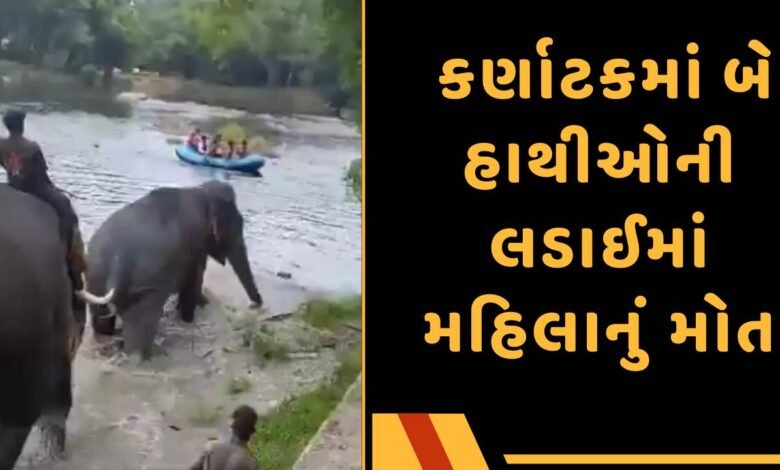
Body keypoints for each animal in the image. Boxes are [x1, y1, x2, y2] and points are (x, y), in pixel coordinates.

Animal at [85, 180, 263, 360]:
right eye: (238, 225)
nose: (256, 304)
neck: (202, 190)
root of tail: (119, 260)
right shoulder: (195, 244)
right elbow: (193, 280)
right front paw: (190, 318)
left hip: (96, 276)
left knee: (102, 321)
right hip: (145, 286)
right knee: (142, 325)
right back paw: (146, 356)